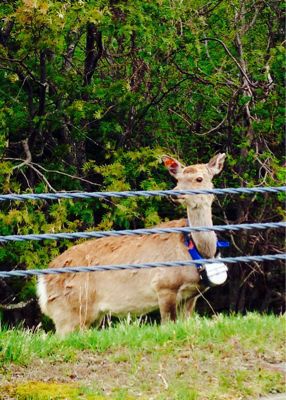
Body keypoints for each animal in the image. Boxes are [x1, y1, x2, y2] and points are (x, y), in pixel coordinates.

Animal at [37, 152, 226, 334]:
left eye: (199, 179)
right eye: (178, 179)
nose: (175, 193)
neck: (197, 250)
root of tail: (42, 282)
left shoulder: (191, 295)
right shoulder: (164, 285)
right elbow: (167, 324)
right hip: (69, 309)